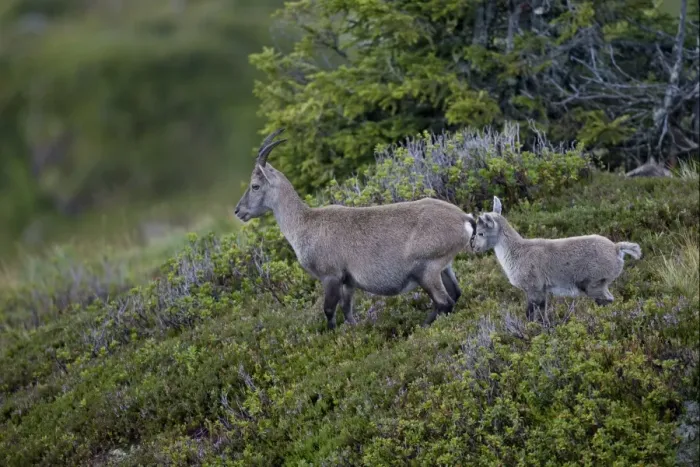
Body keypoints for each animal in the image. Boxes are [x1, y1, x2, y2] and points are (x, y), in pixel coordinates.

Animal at [234, 128, 476, 329]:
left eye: (255, 186)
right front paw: (354, 330)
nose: (238, 211)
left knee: (444, 301)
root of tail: (464, 218)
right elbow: (347, 311)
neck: (305, 223)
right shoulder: (348, 282)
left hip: (426, 270)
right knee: (455, 293)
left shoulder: (331, 276)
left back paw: (423, 326)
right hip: (444, 267)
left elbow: (329, 310)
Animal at [471, 196, 642, 320]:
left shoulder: (534, 289)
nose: (474, 247)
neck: (517, 251)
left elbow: (532, 315)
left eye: (481, 233)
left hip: (594, 284)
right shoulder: (542, 291)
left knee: (607, 300)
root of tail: (616, 249)